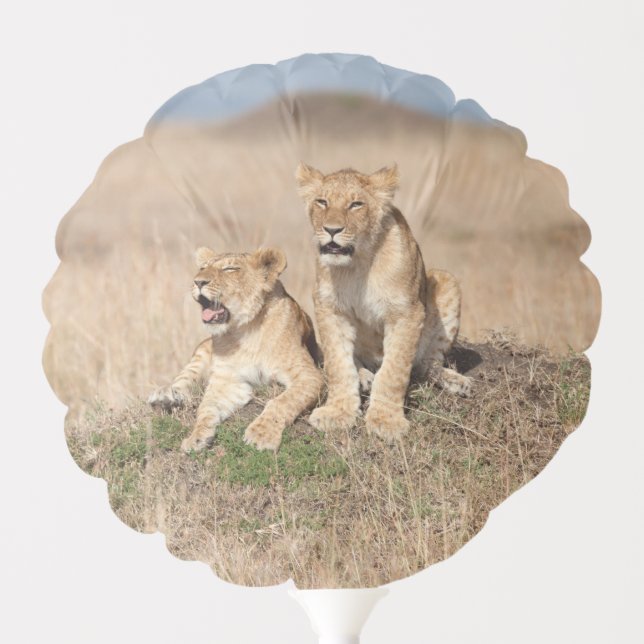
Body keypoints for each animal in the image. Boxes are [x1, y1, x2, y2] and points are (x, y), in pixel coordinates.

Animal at [148, 247, 323, 452]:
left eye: (230, 269)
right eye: (202, 268)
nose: (198, 281)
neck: (246, 330)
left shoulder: (309, 375)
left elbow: (283, 401)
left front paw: (261, 435)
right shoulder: (228, 381)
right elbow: (206, 408)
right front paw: (196, 437)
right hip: (202, 350)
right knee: (184, 379)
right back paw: (164, 397)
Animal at [295, 163, 472, 442]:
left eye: (356, 204)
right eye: (322, 202)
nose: (332, 230)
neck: (357, 263)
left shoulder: (406, 313)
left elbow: (394, 371)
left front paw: (386, 421)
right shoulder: (330, 309)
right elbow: (338, 364)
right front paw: (337, 413)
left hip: (447, 280)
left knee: (426, 364)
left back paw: (456, 381)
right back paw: (364, 376)